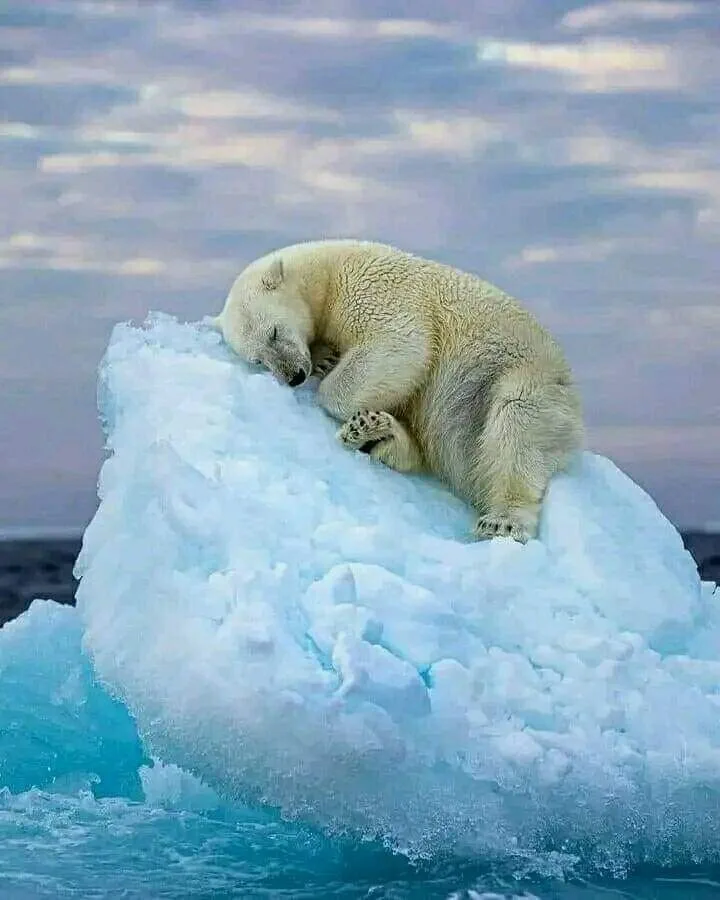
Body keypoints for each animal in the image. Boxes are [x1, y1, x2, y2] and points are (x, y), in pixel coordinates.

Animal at [213, 239, 584, 542]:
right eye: (259, 359)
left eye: (274, 332)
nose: (294, 376)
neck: (327, 272)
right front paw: (324, 359)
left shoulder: (375, 291)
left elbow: (401, 346)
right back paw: (376, 433)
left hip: (523, 378)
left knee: (516, 424)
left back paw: (502, 521)